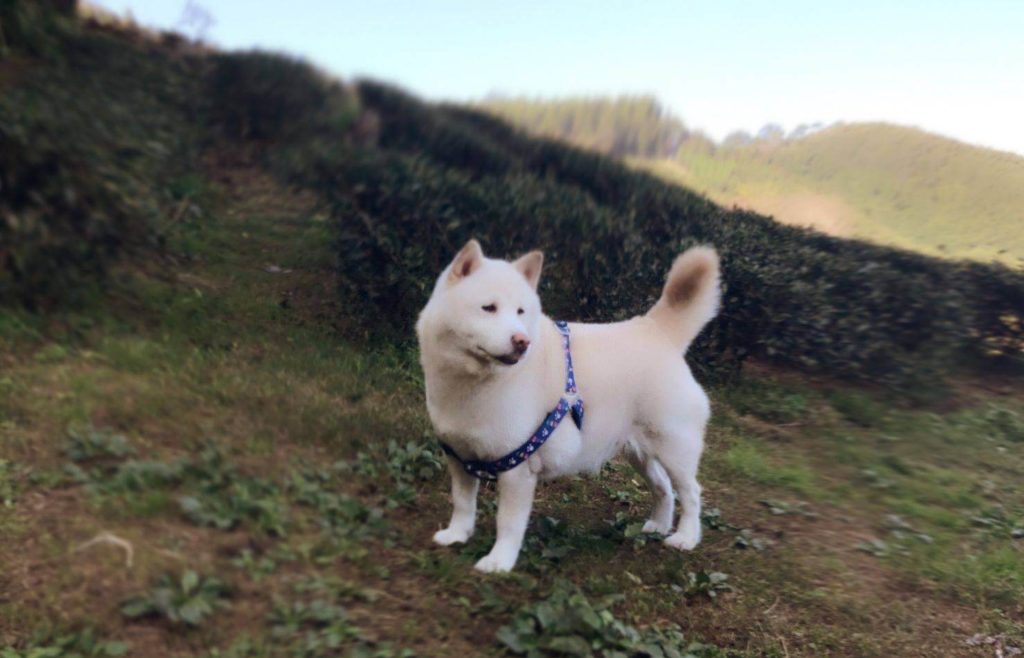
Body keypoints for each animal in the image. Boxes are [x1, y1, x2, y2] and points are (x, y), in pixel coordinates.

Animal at [415, 240, 720, 573]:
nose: (522, 341)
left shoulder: (517, 469)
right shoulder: (459, 459)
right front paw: (457, 534)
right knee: (663, 487)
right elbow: (462, 502)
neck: (474, 382)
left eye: (521, 311)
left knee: (691, 493)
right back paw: (658, 525)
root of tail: (654, 329)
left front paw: (499, 561)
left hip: (675, 450)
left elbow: (508, 523)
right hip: (638, 452)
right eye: (489, 308)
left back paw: (686, 537)